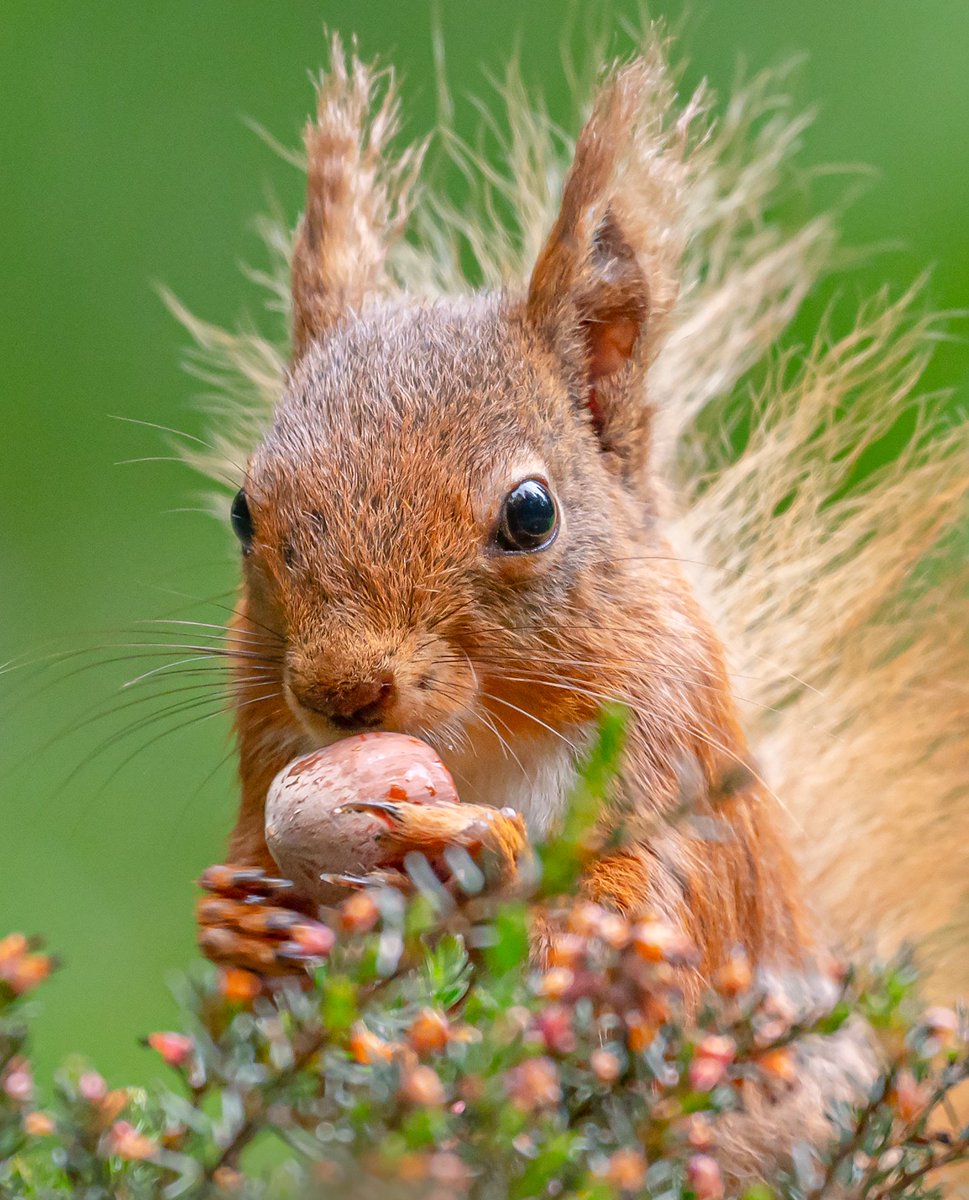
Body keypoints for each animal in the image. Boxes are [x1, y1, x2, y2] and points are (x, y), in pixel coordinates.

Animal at [187, 32, 969, 1161]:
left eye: (530, 511)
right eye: (244, 510)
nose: (343, 692)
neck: (482, 745)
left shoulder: (678, 776)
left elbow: (647, 933)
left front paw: (482, 848)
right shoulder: (267, 765)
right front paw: (239, 926)